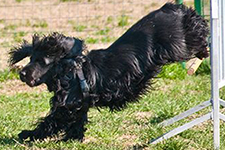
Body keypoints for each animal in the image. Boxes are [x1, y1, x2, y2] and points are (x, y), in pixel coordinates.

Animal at [9, 3, 209, 142]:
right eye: (30, 58)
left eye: (41, 61)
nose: (22, 74)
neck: (68, 72)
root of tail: (169, 7)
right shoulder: (80, 105)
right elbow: (77, 122)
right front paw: (72, 138)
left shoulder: (66, 107)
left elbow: (50, 122)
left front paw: (28, 134)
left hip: (177, 45)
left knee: (196, 32)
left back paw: (203, 45)